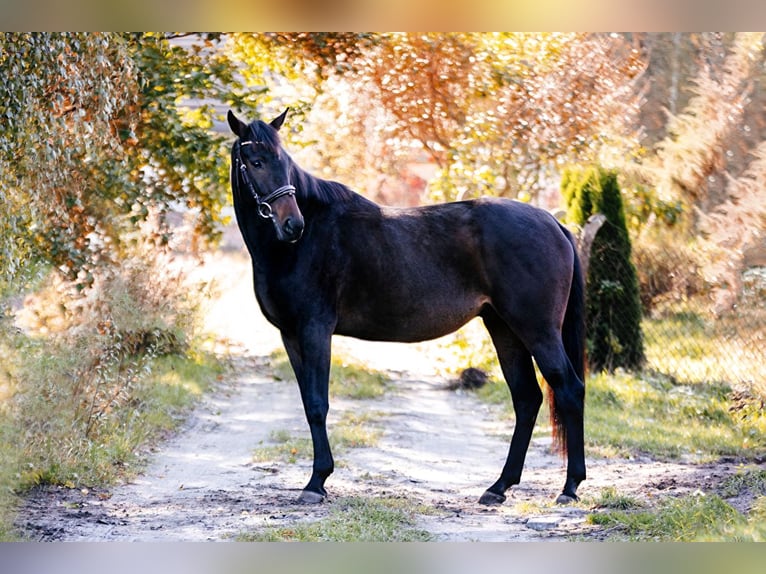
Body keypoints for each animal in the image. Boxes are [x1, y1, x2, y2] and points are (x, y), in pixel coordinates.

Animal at [228, 110, 588, 506]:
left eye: (284, 161)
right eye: (256, 162)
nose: (292, 224)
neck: (302, 243)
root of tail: (553, 222)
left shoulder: (315, 329)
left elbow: (319, 404)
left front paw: (316, 482)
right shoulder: (291, 335)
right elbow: (309, 404)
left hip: (537, 330)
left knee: (569, 389)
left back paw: (569, 487)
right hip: (504, 328)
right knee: (526, 399)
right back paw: (498, 487)